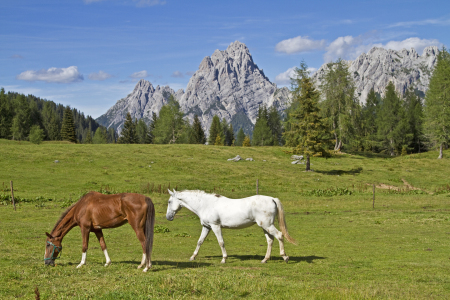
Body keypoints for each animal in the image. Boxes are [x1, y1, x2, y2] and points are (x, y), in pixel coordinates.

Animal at [165, 190, 296, 262]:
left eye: (169, 201)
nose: (168, 217)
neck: (205, 204)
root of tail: (272, 199)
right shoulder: (206, 227)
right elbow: (200, 241)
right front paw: (192, 257)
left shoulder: (215, 226)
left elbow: (221, 242)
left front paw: (224, 259)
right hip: (265, 226)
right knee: (270, 240)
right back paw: (265, 259)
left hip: (268, 225)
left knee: (279, 235)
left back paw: (285, 257)